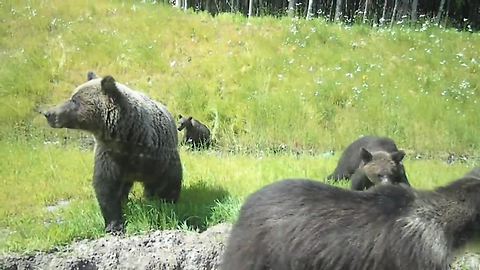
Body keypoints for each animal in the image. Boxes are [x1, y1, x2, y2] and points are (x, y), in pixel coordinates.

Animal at [44, 73, 183, 233]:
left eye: (74, 100)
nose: (48, 113)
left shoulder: (159, 155)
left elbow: (169, 182)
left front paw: (166, 207)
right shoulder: (110, 156)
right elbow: (106, 189)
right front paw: (114, 225)